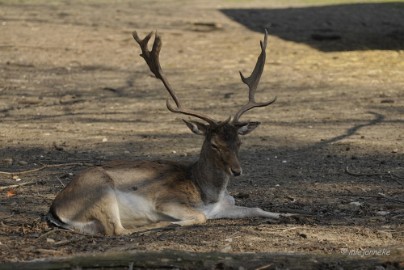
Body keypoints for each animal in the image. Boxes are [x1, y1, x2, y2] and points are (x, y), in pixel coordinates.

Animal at [46, 29, 288, 235]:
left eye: (239, 142)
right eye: (214, 144)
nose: (236, 170)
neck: (209, 195)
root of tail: (55, 209)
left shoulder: (225, 205)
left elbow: (256, 209)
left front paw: (287, 214)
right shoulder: (167, 200)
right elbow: (200, 216)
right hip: (101, 192)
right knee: (117, 230)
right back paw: (160, 224)